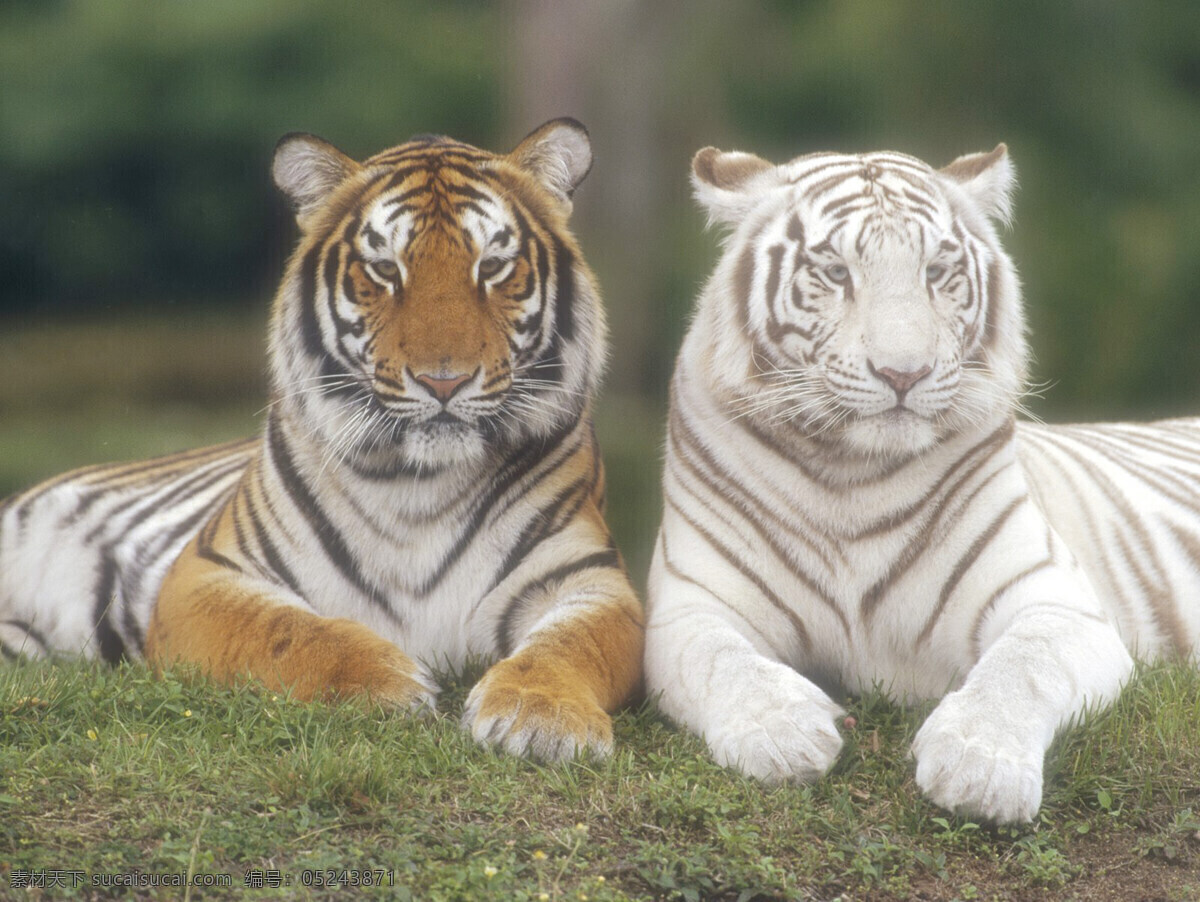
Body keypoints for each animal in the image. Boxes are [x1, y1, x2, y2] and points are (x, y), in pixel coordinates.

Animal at [648, 140, 1200, 825]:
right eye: (835, 272)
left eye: (937, 271)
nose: (903, 373)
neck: (851, 476)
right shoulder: (689, 606)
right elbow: (721, 661)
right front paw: (783, 734)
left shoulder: (1057, 602)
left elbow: (1023, 665)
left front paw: (979, 767)